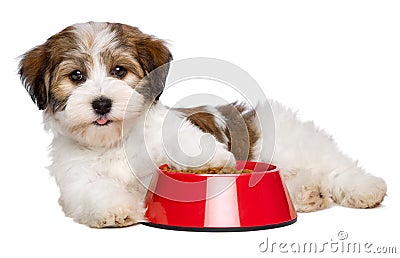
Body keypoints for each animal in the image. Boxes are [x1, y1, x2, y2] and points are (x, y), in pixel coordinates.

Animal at [18, 22, 388, 228]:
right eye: (76, 76)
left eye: (119, 71)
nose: (102, 102)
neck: (114, 142)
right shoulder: (77, 179)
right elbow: (95, 191)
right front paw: (114, 209)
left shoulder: (171, 132)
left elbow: (188, 142)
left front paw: (213, 162)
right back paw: (309, 194)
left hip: (296, 145)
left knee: (335, 167)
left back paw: (364, 188)